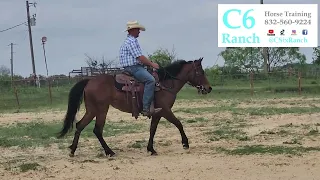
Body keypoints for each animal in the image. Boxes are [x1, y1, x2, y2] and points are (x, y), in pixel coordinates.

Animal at [57, 57, 212, 156]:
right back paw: (109, 152)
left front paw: (151, 149)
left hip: (92, 110)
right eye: (201, 72)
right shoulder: (166, 111)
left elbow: (152, 130)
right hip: (101, 109)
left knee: (80, 125)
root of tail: (89, 81)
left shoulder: (157, 113)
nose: (208, 88)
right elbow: (178, 123)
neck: (164, 83)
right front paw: (185, 144)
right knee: (97, 130)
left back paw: (72, 150)